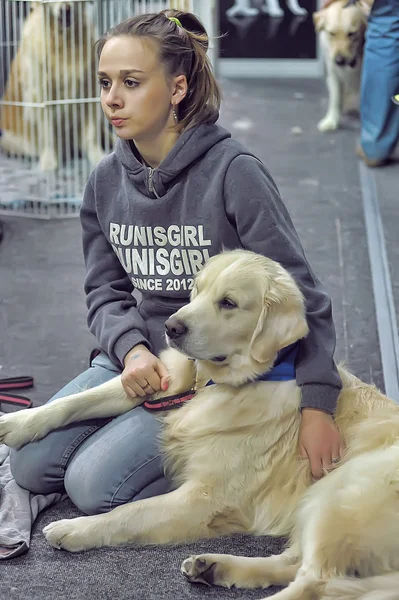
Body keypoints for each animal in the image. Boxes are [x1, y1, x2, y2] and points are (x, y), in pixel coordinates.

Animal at [0, 2, 111, 171]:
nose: (66, 10)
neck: (63, 43)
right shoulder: (41, 96)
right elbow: (48, 134)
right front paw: (49, 161)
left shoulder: (88, 90)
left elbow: (92, 133)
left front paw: (97, 155)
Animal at [0, 250, 399, 600]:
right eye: (197, 289)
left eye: (229, 303)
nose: (171, 327)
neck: (217, 383)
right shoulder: (159, 379)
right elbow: (76, 401)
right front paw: (14, 422)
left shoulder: (204, 499)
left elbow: (129, 513)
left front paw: (75, 528)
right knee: (297, 565)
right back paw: (215, 568)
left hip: (338, 495)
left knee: (318, 582)